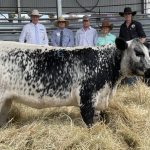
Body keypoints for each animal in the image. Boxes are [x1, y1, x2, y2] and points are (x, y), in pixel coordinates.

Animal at [0, 37, 150, 126]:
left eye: (148, 52)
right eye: (138, 52)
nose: (149, 70)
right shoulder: (86, 99)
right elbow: (89, 123)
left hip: (7, 101)